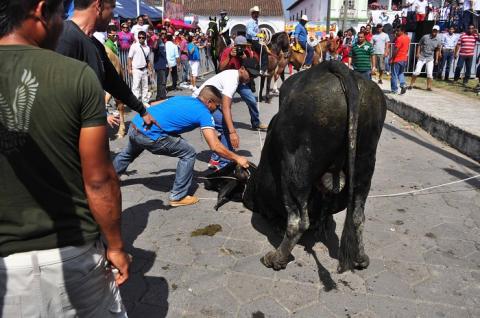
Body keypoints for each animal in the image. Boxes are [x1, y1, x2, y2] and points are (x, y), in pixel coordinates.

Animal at [202, 60, 386, 272]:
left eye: (225, 172)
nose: (206, 179)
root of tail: (335, 66)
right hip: (365, 161)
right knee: (357, 215)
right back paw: (360, 257)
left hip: (295, 169)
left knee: (298, 221)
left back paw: (276, 258)